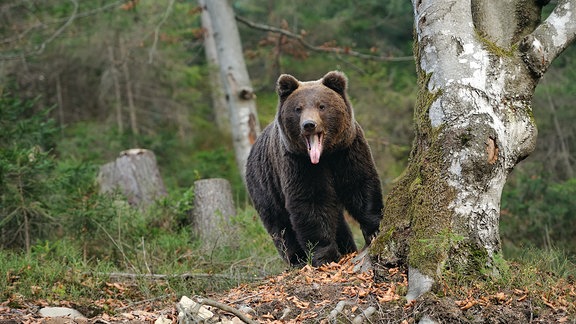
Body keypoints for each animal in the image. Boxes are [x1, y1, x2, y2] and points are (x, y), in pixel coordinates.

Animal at [246, 71, 384, 266]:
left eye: (321, 106)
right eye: (298, 108)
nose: (309, 124)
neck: (325, 155)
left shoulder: (347, 150)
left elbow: (360, 184)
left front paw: (374, 229)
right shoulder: (299, 163)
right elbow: (311, 202)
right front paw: (325, 255)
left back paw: (347, 247)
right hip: (265, 186)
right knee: (280, 226)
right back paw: (297, 259)